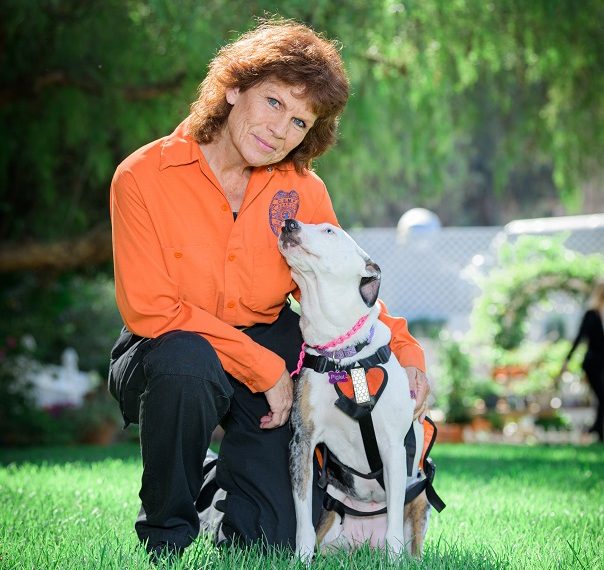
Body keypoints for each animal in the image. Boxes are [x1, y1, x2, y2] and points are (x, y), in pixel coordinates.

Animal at [278, 219, 444, 560]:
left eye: (329, 230)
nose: (288, 222)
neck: (343, 355)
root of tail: (365, 544)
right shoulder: (302, 441)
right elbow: (302, 518)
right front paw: (301, 560)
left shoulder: (393, 448)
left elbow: (394, 523)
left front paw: (394, 562)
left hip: (420, 495)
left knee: (410, 538)